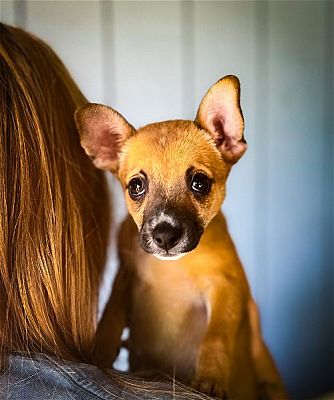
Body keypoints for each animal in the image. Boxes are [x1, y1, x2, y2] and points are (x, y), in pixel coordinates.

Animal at [75, 76, 288, 400]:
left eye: (199, 183)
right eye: (136, 187)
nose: (164, 236)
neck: (172, 268)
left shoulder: (226, 286)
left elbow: (216, 336)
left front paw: (209, 379)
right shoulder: (126, 277)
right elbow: (110, 315)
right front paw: (100, 355)